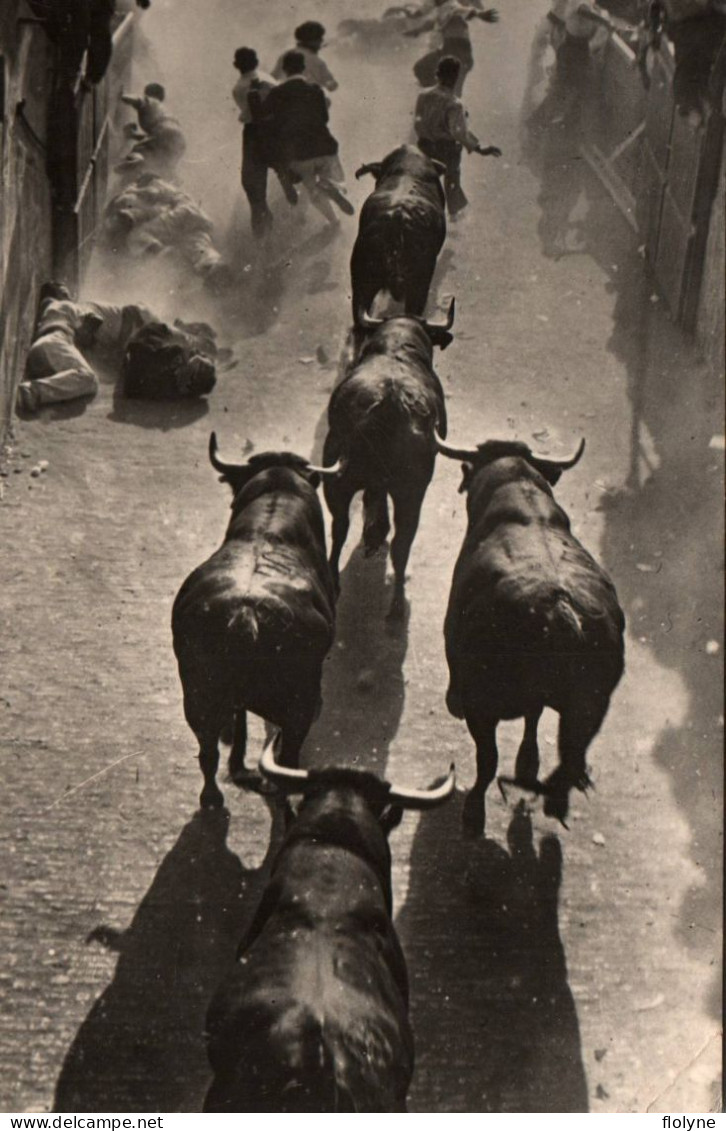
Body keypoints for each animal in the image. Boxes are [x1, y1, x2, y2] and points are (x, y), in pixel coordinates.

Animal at [170, 434, 336, 814]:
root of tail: (246, 615)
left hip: (198, 700)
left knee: (208, 753)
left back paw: (212, 799)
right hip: (297, 710)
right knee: (286, 763)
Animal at [321, 300, 452, 619]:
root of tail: (391, 402)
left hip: (340, 481)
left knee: (340, 527)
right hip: (410, 493)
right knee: (400, 543)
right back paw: (397, 603)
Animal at [434, 436, 624, 836]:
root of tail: (562, 609)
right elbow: (535, 719)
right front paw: (528, 761)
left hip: (483, 703)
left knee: (488, 760)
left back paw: (474, 814)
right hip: (590, 707)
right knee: (570, 756)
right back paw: (552, 799)